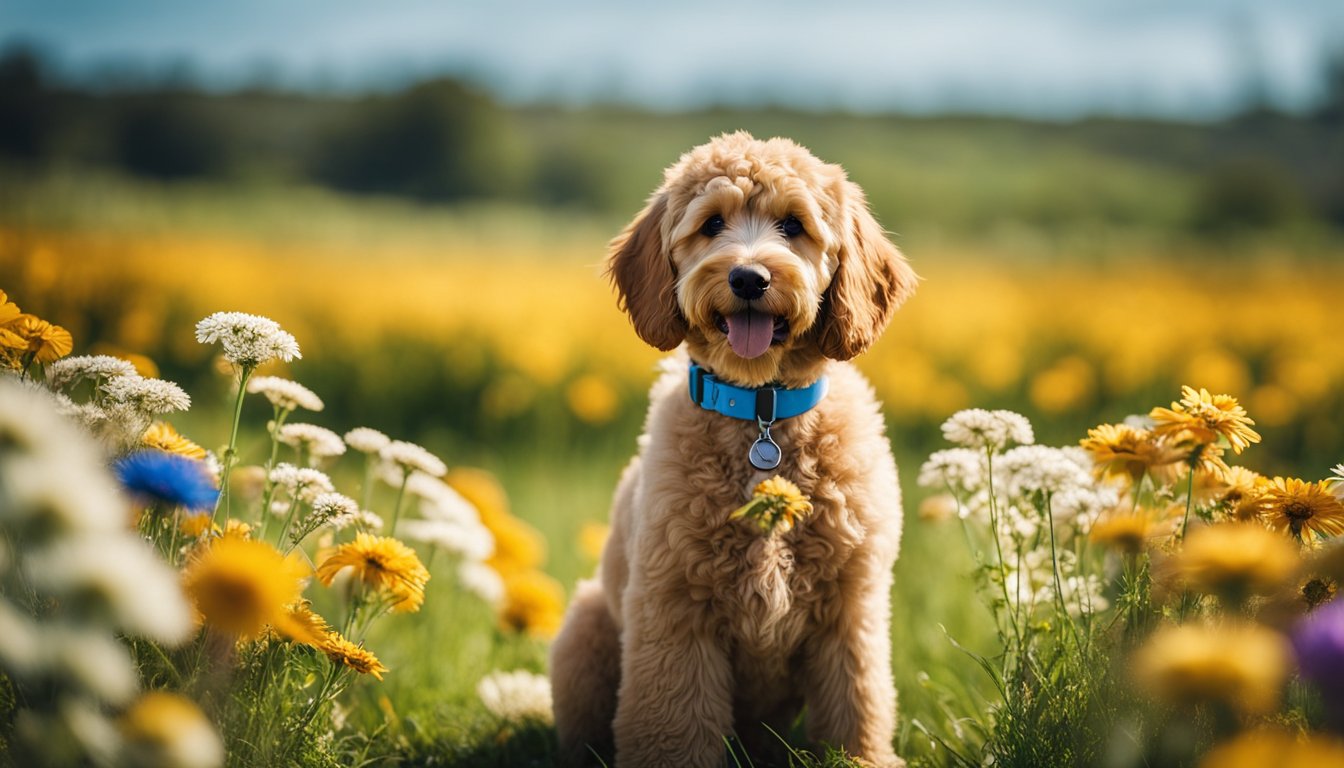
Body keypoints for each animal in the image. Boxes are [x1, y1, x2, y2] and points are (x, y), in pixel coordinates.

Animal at [545, 133, 913, 768]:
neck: (761, 413)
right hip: (587, 629)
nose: (748, 279)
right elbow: (673, 726)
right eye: (712, 223)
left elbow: (857, 708)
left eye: (793, 225)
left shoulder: (852, 611)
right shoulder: (674, 610)